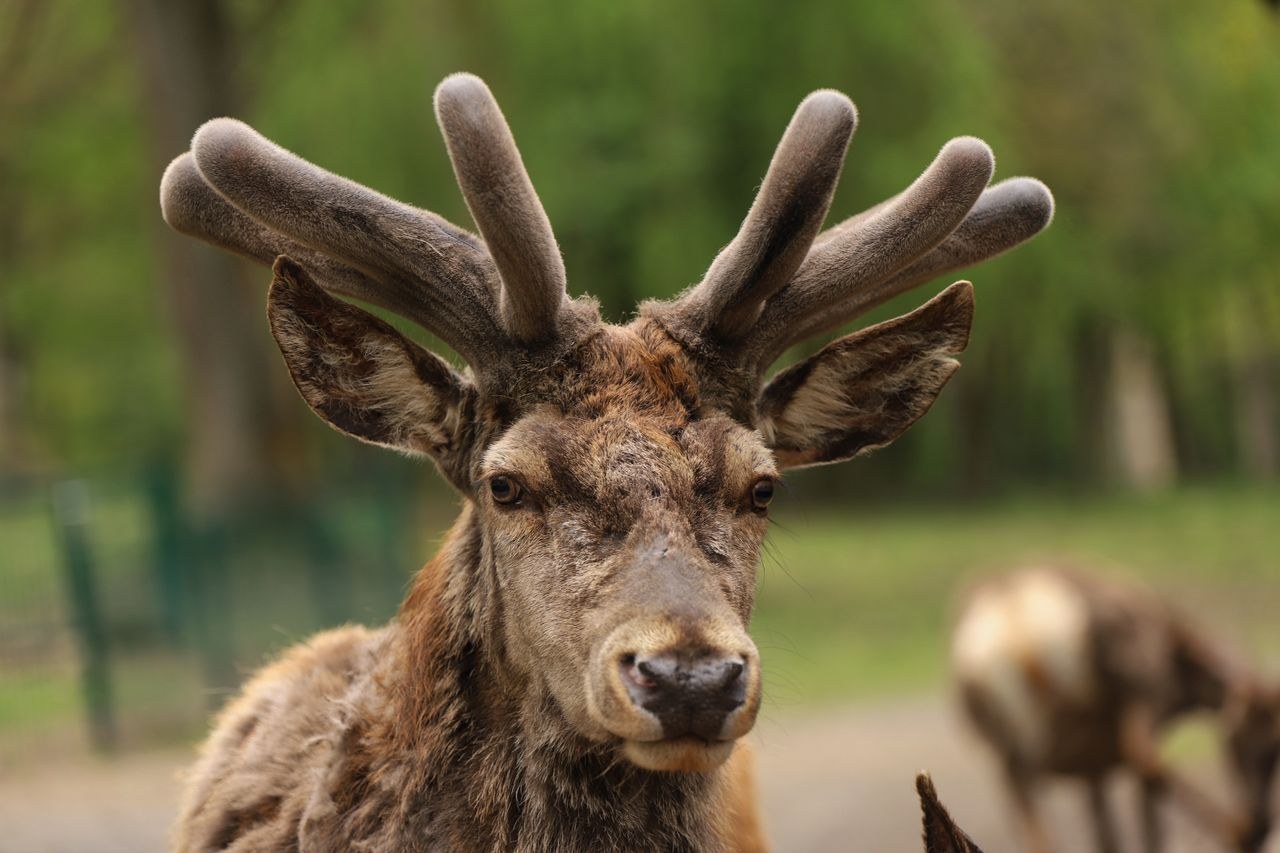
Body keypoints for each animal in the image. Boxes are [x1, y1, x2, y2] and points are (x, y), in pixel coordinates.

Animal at [952, 564, 1280, 853]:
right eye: (1261, 744)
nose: (1262, 823)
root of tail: (1014, 615)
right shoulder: (1151, 698)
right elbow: (1148, 811)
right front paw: (1242, 833)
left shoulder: (1093, 767)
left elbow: (1106, 835)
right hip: (1133, 693)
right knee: (1146, 759)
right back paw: (1236, 830)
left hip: (1009, 742)